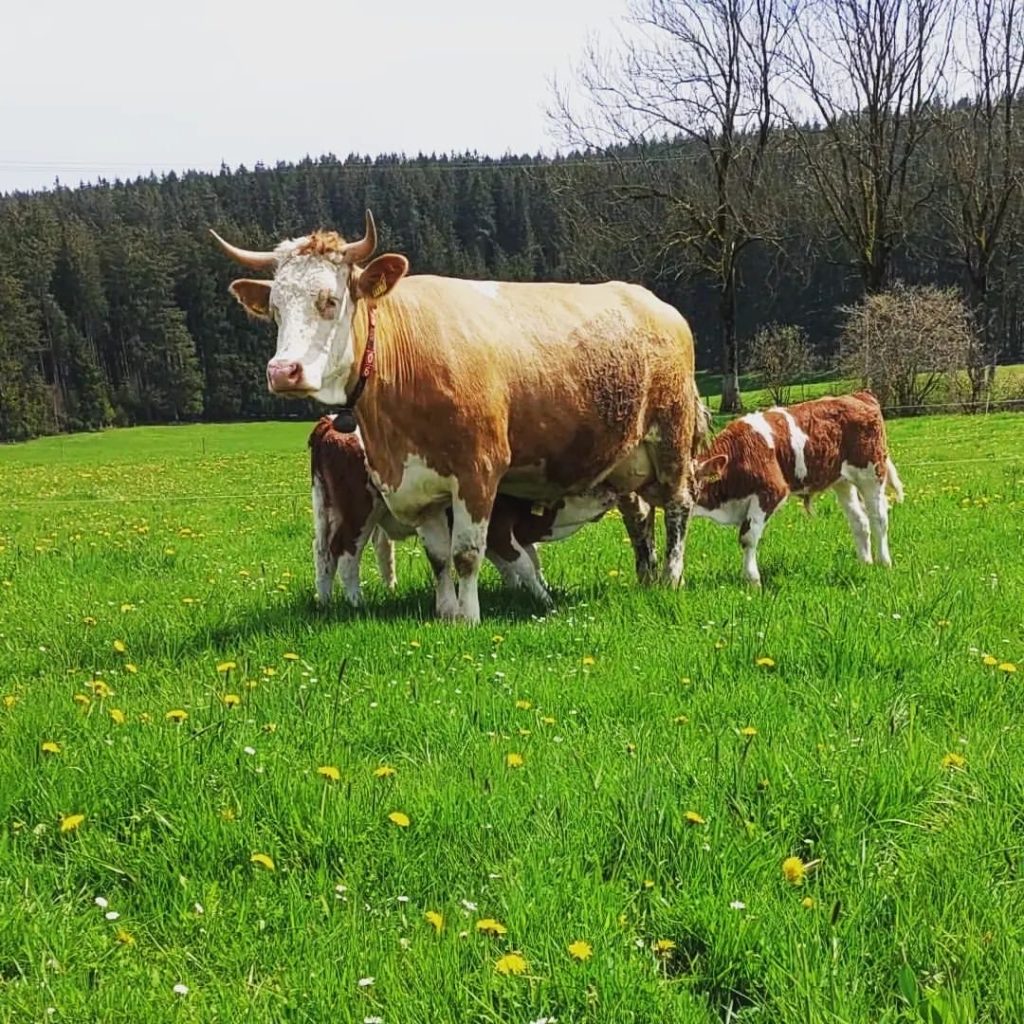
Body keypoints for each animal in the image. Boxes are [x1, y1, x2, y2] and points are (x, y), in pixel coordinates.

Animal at [307, 415, 614, 606]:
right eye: (586, 488)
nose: (612, 492)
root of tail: (330, 424)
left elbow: (525, 562)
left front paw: (518, 591)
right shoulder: (498, 529)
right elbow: (525, 563)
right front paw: (544, 599)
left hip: (328, 510)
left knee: (324, 552)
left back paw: (325, 600)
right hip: (359, 512)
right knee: (347, 553)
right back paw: (356, 602)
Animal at [688, 391, 905, 585]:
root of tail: (859, 395)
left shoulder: (771, 491)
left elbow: (747, 537)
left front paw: (752, 580)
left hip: (871, 475)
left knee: (879, 518)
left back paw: (884, 563)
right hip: (842, 482)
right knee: (860, 522)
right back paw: (865, 564)